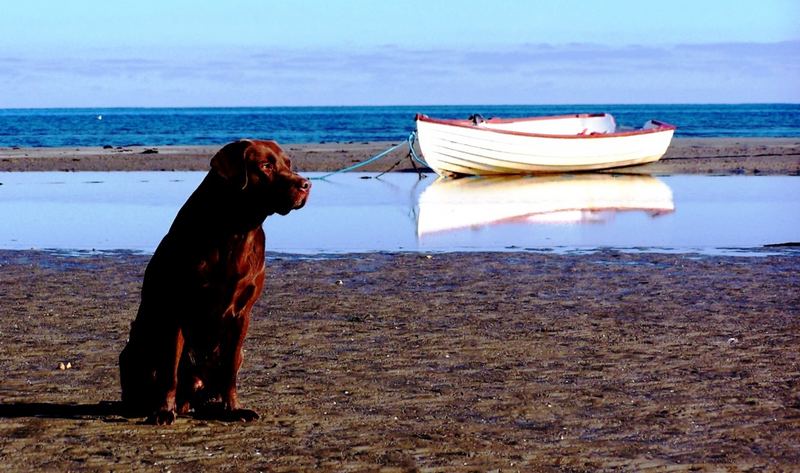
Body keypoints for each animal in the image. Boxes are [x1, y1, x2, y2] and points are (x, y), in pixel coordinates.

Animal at [120, 138, 310, 422]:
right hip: (137, 346)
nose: (306, 184)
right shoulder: (177, 310)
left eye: (288, 164)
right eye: (265, 166)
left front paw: (233, 409)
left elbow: (228, 371)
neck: (235, 230)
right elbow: (169, 370)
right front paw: (164, 411)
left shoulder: (242, 314)